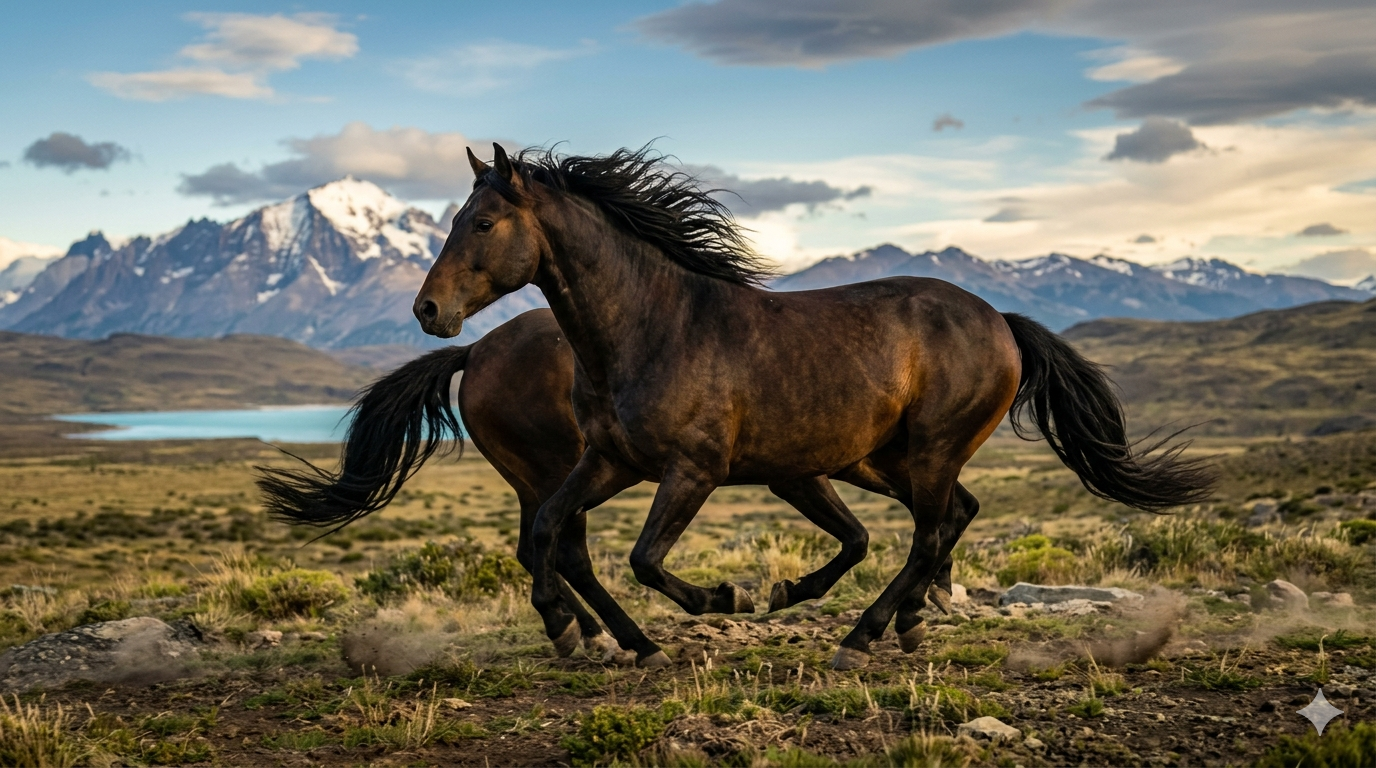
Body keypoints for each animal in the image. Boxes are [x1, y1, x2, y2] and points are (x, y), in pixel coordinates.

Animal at [257, 308, 922, 661]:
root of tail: (476, 351)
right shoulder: (798, 473)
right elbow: (883, 530)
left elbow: (895, 527)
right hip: (559, 468)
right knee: (565, 551)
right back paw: (615, 637)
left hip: (538, 478)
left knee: (537, 548)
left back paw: (585, 631)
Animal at [411, 144, 1213, 670]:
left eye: (481, 224)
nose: (428, 310)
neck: (652, 327)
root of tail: (1000, 321)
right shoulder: (611, 460)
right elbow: (554, 529)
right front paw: (576, 629)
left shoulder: (694, 471)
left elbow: (644, 558)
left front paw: (729, 597)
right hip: (882, 460)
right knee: (950, 517)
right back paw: (900, 624)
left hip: (927, 451)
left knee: (930, 532)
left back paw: (861, 639)